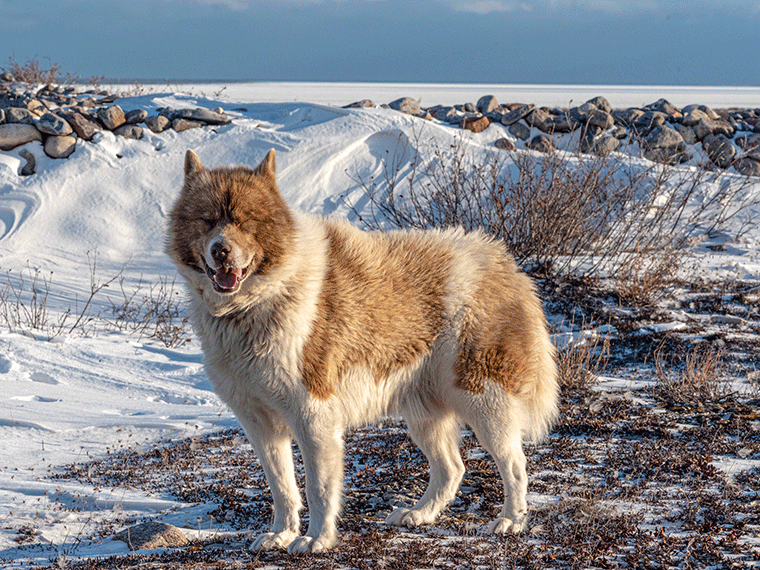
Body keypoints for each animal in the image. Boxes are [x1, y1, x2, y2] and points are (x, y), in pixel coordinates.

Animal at [166, 148, 560, 552]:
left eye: (246, 221)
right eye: (207, 221)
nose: (221, 250)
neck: (257, 301)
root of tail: (504, 264)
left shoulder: (313, 415)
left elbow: (319, 488)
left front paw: (316, 539)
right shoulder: (260, 424)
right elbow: (282, 488)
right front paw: (282, 534)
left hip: (483, 401)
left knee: (514, 466)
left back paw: (511, 520)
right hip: (424, 414)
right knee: (452, 468)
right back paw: (419, 514)